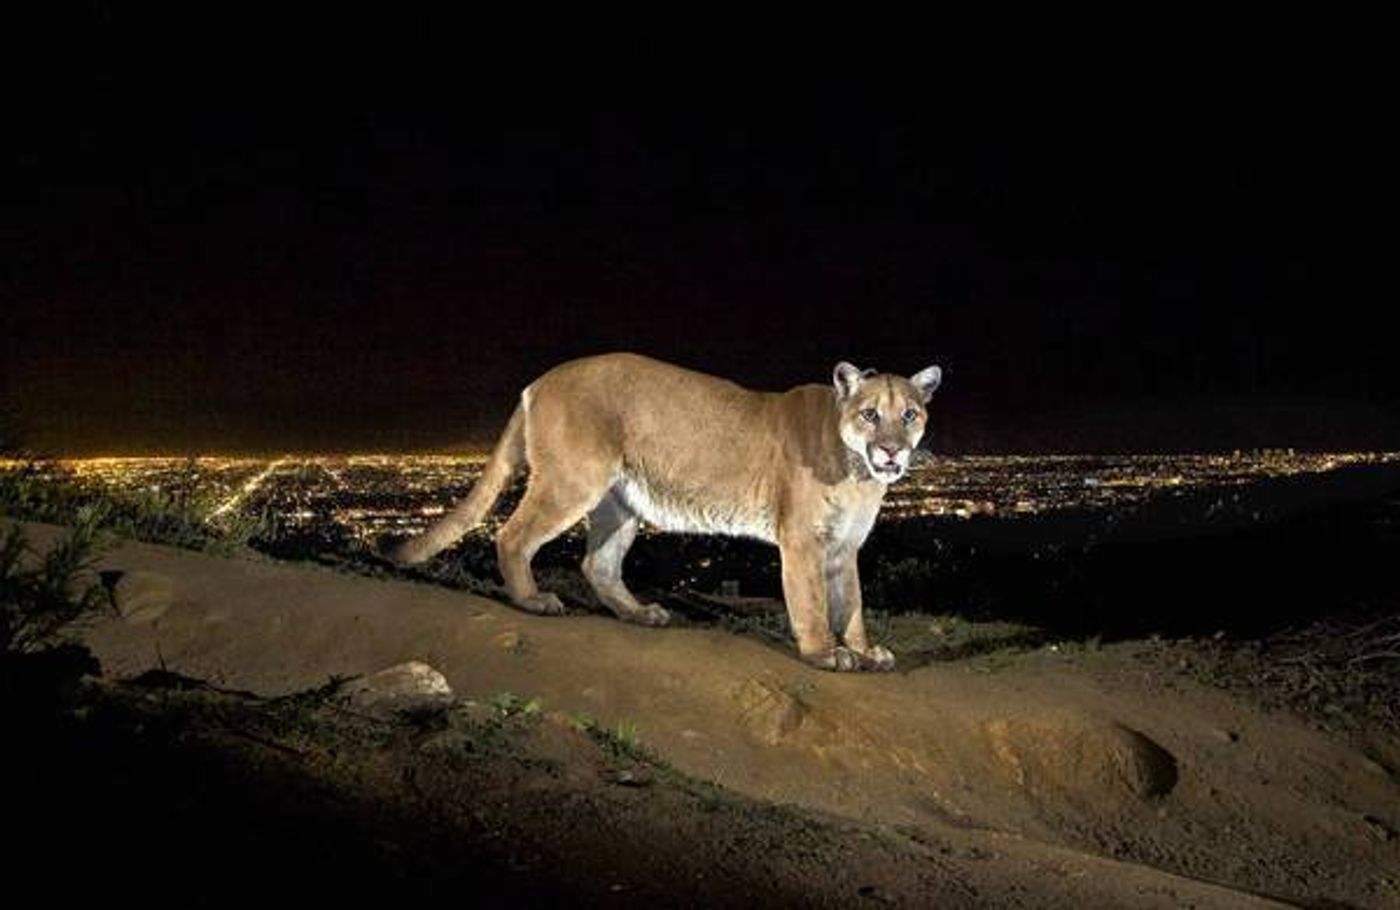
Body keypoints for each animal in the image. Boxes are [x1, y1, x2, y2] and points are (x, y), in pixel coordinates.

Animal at [389, 351, 946, 669]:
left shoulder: (844, 546)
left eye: (909, 415)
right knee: (512, 536)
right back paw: (533, 600)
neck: (858, 472)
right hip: (574, 481)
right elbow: (811, 602)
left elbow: (851, 603)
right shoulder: (803, 540)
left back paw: (640, 614)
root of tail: (539, 381)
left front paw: (864, 649)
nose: (892, 452)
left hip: (621, 501)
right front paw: (823, 653)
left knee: (597, 564)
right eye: (870, 415)